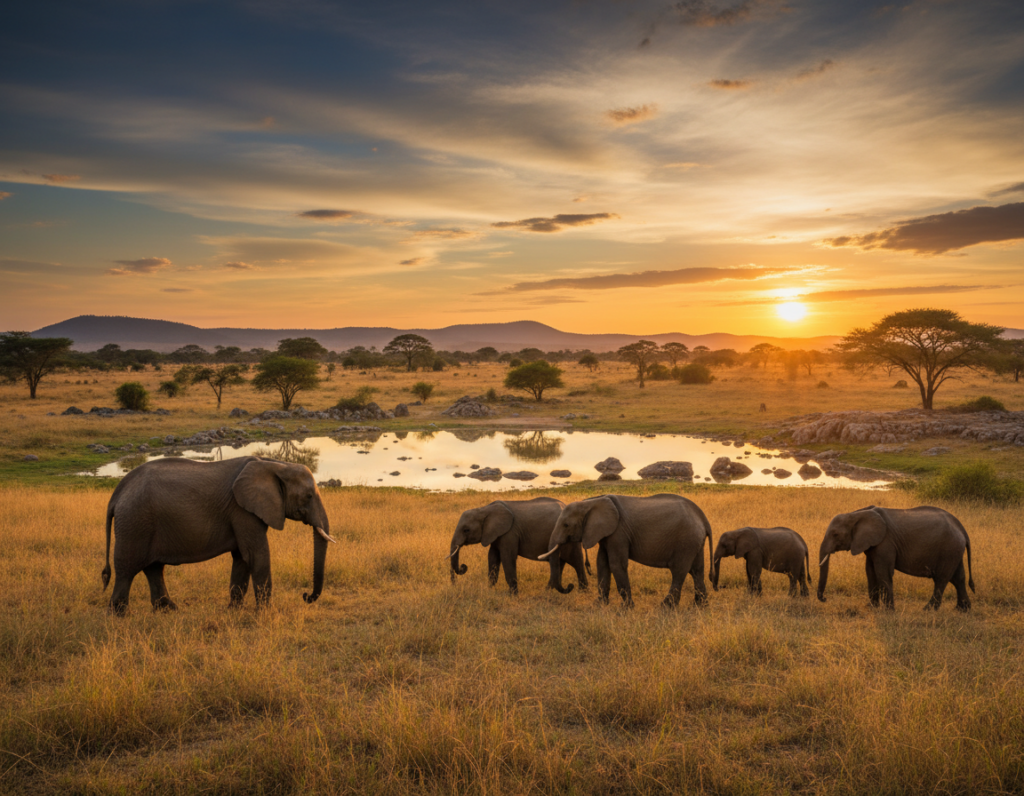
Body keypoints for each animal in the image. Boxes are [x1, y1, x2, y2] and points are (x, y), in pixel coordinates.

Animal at [102, 456, 335, 614]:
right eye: (309, 496)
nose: (305, 596)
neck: (276, 465)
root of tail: (117, 492)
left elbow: (242, 558)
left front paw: (234, 611)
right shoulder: (242, 510)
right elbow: (256, 555)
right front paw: (266, 613)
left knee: (154, 568)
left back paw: (169, 610)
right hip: (134, 522)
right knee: (127, 569)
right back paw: (119, 615)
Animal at [448, 497, 588, 595]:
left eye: (466, 530)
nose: (463, 567)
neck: (484, 509)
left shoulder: (510, 533)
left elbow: (507, 557)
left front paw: (512, 595)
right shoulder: (496, 534)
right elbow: (492, 557)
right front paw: (489, 590)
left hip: (570, 537)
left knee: (576, 562)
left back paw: (581, 593)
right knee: (561, 563)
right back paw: (548, 592)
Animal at [540, 493, 713, 608]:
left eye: (566, 525)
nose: (570, 586)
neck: (590, 502)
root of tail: (703, 518)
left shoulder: (618, 532)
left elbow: (616, 564)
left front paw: (627, 608)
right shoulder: (607, 535)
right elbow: (602, 564)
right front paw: (599, 605)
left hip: (686, 540)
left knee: (679, 571)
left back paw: (665, 607)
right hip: (694, 541)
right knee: (697, 570)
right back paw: (699, 607)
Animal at [817, 505, 974, 611]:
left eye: (835, 534)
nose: (824, 599)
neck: (856, 514)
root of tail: (962, 528)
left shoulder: (885, 542)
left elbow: (883, 573)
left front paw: (888, 611)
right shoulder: (872, 544)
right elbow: (870, 572)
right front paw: (873, 608)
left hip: (949, 548)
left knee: (942, 579)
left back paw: (928, 610)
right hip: (954, 550)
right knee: (958, 577)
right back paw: (962, 610)